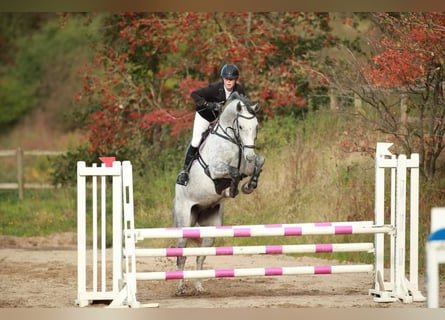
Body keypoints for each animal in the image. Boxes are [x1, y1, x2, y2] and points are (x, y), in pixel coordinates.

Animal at [173, 92, 264, 296]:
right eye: (241, 126)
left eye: (256, 127)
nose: (249, 156)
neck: (231, 139)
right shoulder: (214, 170)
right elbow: (233, 172)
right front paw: (234, 188)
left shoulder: (247, 165)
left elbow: (259, 162)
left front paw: (249, 185)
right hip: (184, 221)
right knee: (181, 256)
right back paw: (181, 288)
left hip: (211, 227)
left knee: (200, 257)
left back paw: (198, 287)